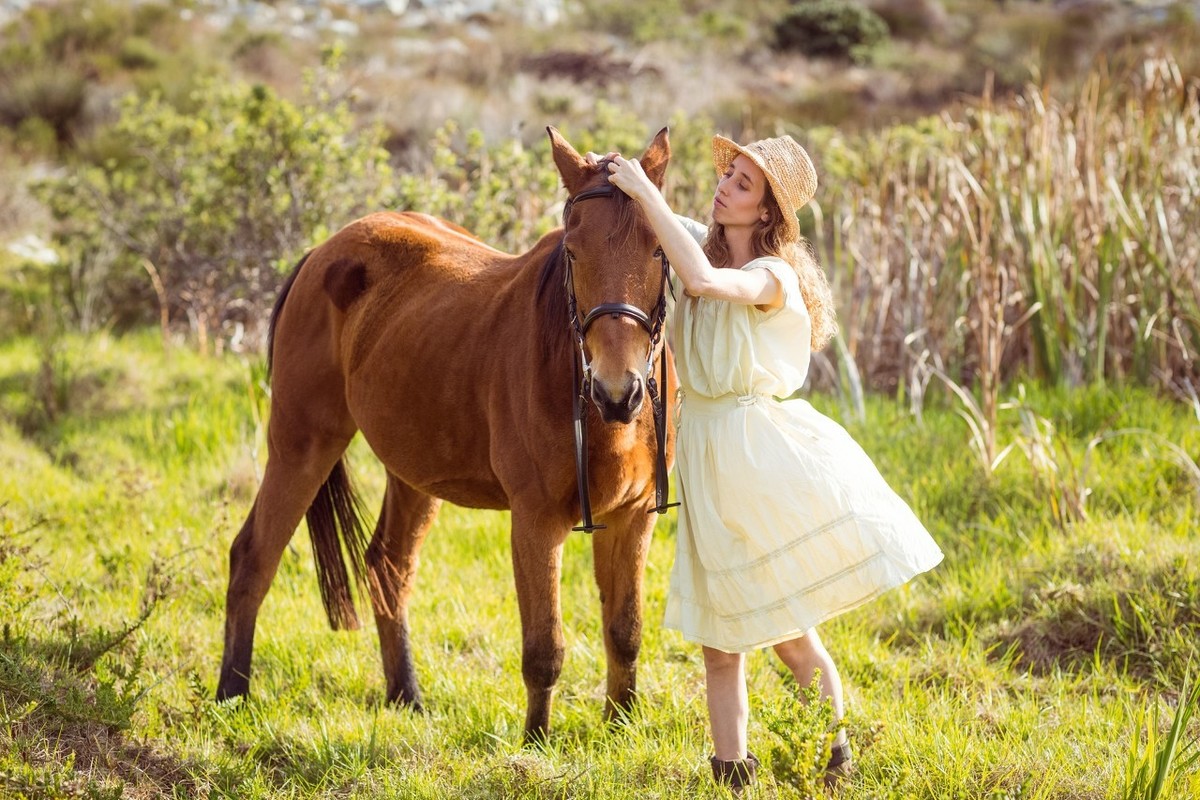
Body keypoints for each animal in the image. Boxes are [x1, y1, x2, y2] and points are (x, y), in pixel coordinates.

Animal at [218, 126, 676, 743]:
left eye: (658, 249)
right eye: (573, 252)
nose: (616, 391)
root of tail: (321, 252)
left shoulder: (633, 518)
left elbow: (625, 632)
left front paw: (620, 730)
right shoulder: (536, 523)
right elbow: (544, 650)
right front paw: (535, 745)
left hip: (412, 472)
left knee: (387, 567)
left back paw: (406, 696)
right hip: (301, 444)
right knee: (254, 557)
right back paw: (231, 696)